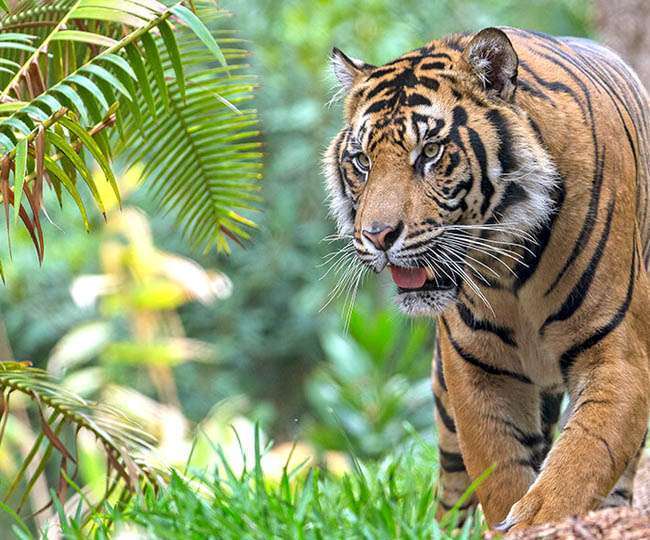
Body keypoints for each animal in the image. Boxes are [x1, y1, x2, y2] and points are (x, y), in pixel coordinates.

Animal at [323, 27, 650, 531]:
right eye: (361, 160)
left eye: (430, 152)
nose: (377, 236)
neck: (510, 271)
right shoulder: (476, 370)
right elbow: (499, 472)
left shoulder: (619, 354)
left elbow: (583, 459)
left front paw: (542, 520)